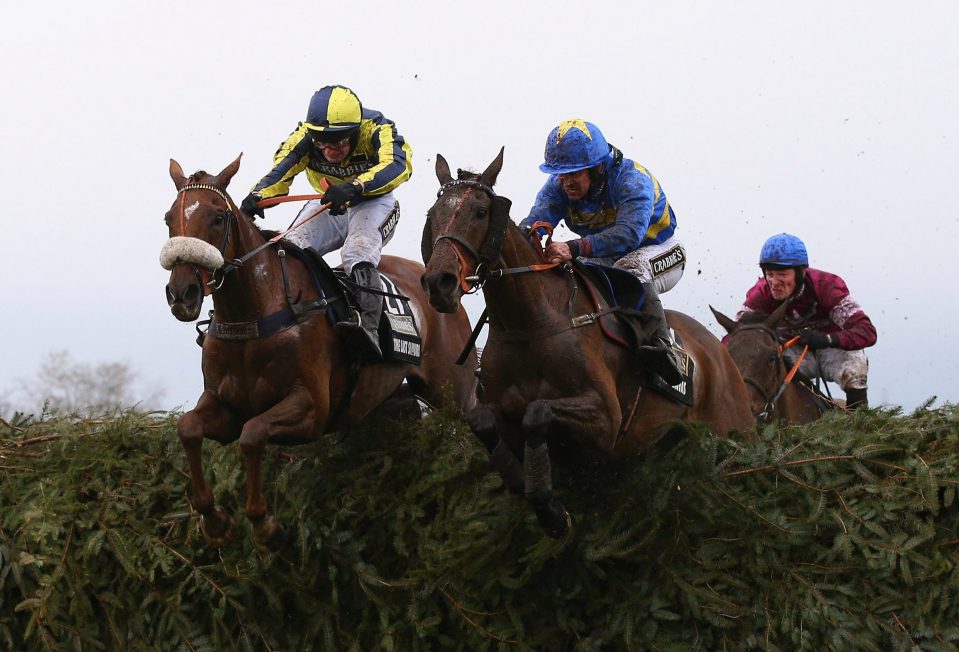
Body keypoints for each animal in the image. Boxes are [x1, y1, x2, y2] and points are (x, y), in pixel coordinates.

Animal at [163, 157, 480, 552]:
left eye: (218, 217)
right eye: (169, 218)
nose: (182, 293)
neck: (255, 313)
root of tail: (436, 283)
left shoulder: (311, 408)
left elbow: (253, 434)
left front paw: (265, 525)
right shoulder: (224, 404)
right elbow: (189, 428)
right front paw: (214, 520)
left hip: (455, 393)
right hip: (394, 403)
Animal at [420, 150, 756, 536]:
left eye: (480, 212)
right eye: (433, 215)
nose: (439, 282)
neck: (532, 322)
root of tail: (721, 352)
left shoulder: (606, 419)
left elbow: (538, 412)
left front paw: (550, 509)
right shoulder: (500, 409)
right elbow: (483, 422)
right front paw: (524, 482)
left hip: (733, 427)